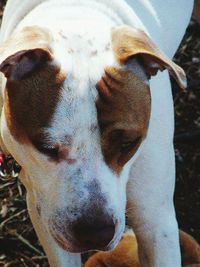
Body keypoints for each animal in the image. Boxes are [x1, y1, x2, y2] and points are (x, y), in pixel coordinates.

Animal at [0, 0, 195, 267]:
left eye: (128, 144)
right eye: (46, 147)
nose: (95, 233)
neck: (78, 16)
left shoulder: (156, 217)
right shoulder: (43, 207)